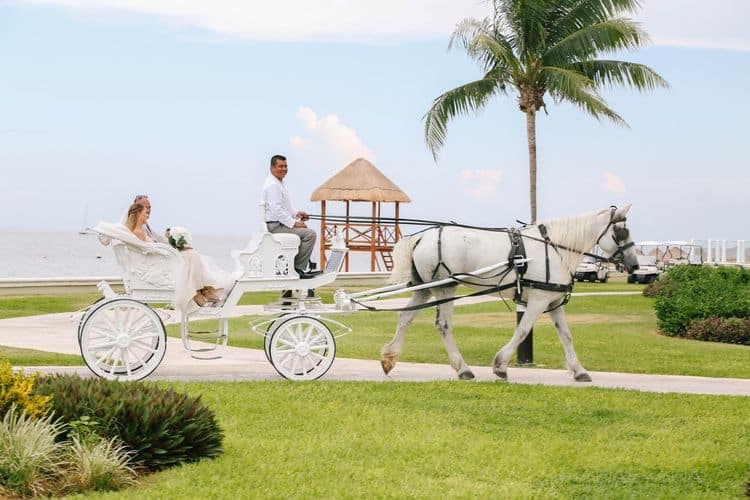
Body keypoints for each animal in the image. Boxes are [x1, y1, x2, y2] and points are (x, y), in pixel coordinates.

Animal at [382, 205, 640, 380]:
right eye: (621, 232)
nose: (635, 265)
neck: (555, 249)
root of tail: (422, 236)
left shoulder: (552, 301)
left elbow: (566, 335)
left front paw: (579, 370)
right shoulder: (538, 300)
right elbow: (523, 330)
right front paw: (500, 365)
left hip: (425, 288)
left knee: (405, 317)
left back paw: (389, 358)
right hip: (445, 286)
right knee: (443, 325)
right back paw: (462, 368)